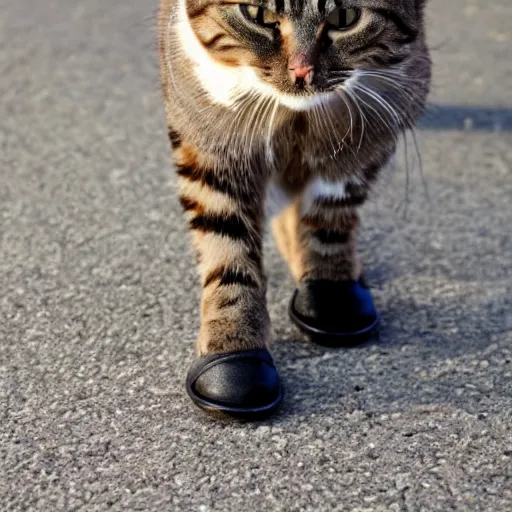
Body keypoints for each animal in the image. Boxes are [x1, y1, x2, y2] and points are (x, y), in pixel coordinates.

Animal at [158, 0, 430, 418]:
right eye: (258, 16)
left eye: (345, 19)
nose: (301, 71)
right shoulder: (212, 143)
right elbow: (228, 250)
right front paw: (234, 348)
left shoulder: (370, 127)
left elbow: (328, 219)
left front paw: (329, 288)